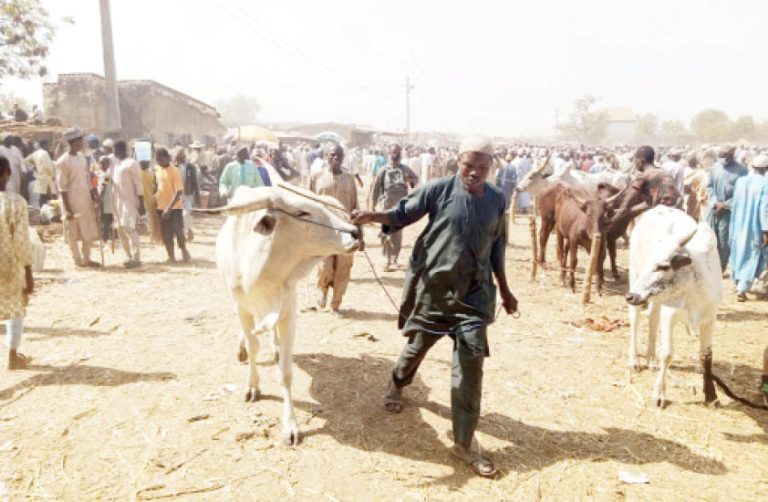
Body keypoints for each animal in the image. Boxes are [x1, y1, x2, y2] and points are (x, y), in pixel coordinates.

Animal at [212, 183, 362, 444]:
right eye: (302, 213)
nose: (355, 232)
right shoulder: (242, 306)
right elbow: (253, 346)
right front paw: (253, 386)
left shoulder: (288, 311)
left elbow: (285, 373)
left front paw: (290, 425)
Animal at [624, 207, 720, 408]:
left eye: (663, 266)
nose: (630, 296)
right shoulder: (670, 315)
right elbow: (667, 354)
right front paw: (659, 394)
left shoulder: (709, 319)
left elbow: (706, 356)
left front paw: (711, 395)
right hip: (634, 277)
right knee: (635, 320)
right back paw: (634, 361)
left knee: (653, 319)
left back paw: (651, 360)